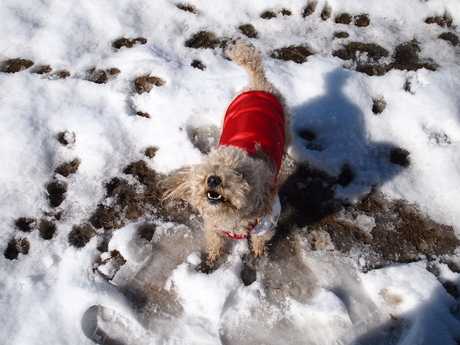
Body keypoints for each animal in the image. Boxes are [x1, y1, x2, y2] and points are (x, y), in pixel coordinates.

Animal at [161, 40, 292, 260]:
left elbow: (261, 239)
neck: (231, 219)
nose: (214, 179)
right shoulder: (212, 224)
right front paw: (214, 254)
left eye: (240, 174)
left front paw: (258, 252)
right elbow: (214, 238)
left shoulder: (267, 222)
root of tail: (258, 83)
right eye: (212, 166)